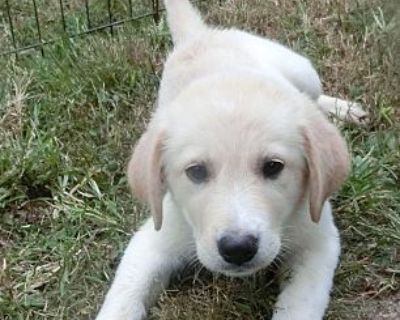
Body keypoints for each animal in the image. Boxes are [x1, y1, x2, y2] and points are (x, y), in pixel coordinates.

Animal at [96, 1, 366, 318]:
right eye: (196, 172)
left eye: (273, 167)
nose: (238, 248)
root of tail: (200, 36)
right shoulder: (154, 238)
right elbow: (123, 299)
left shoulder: (318, 241)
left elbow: (299, 306)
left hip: (303, 70)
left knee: (312, 97)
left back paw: (342, 109)